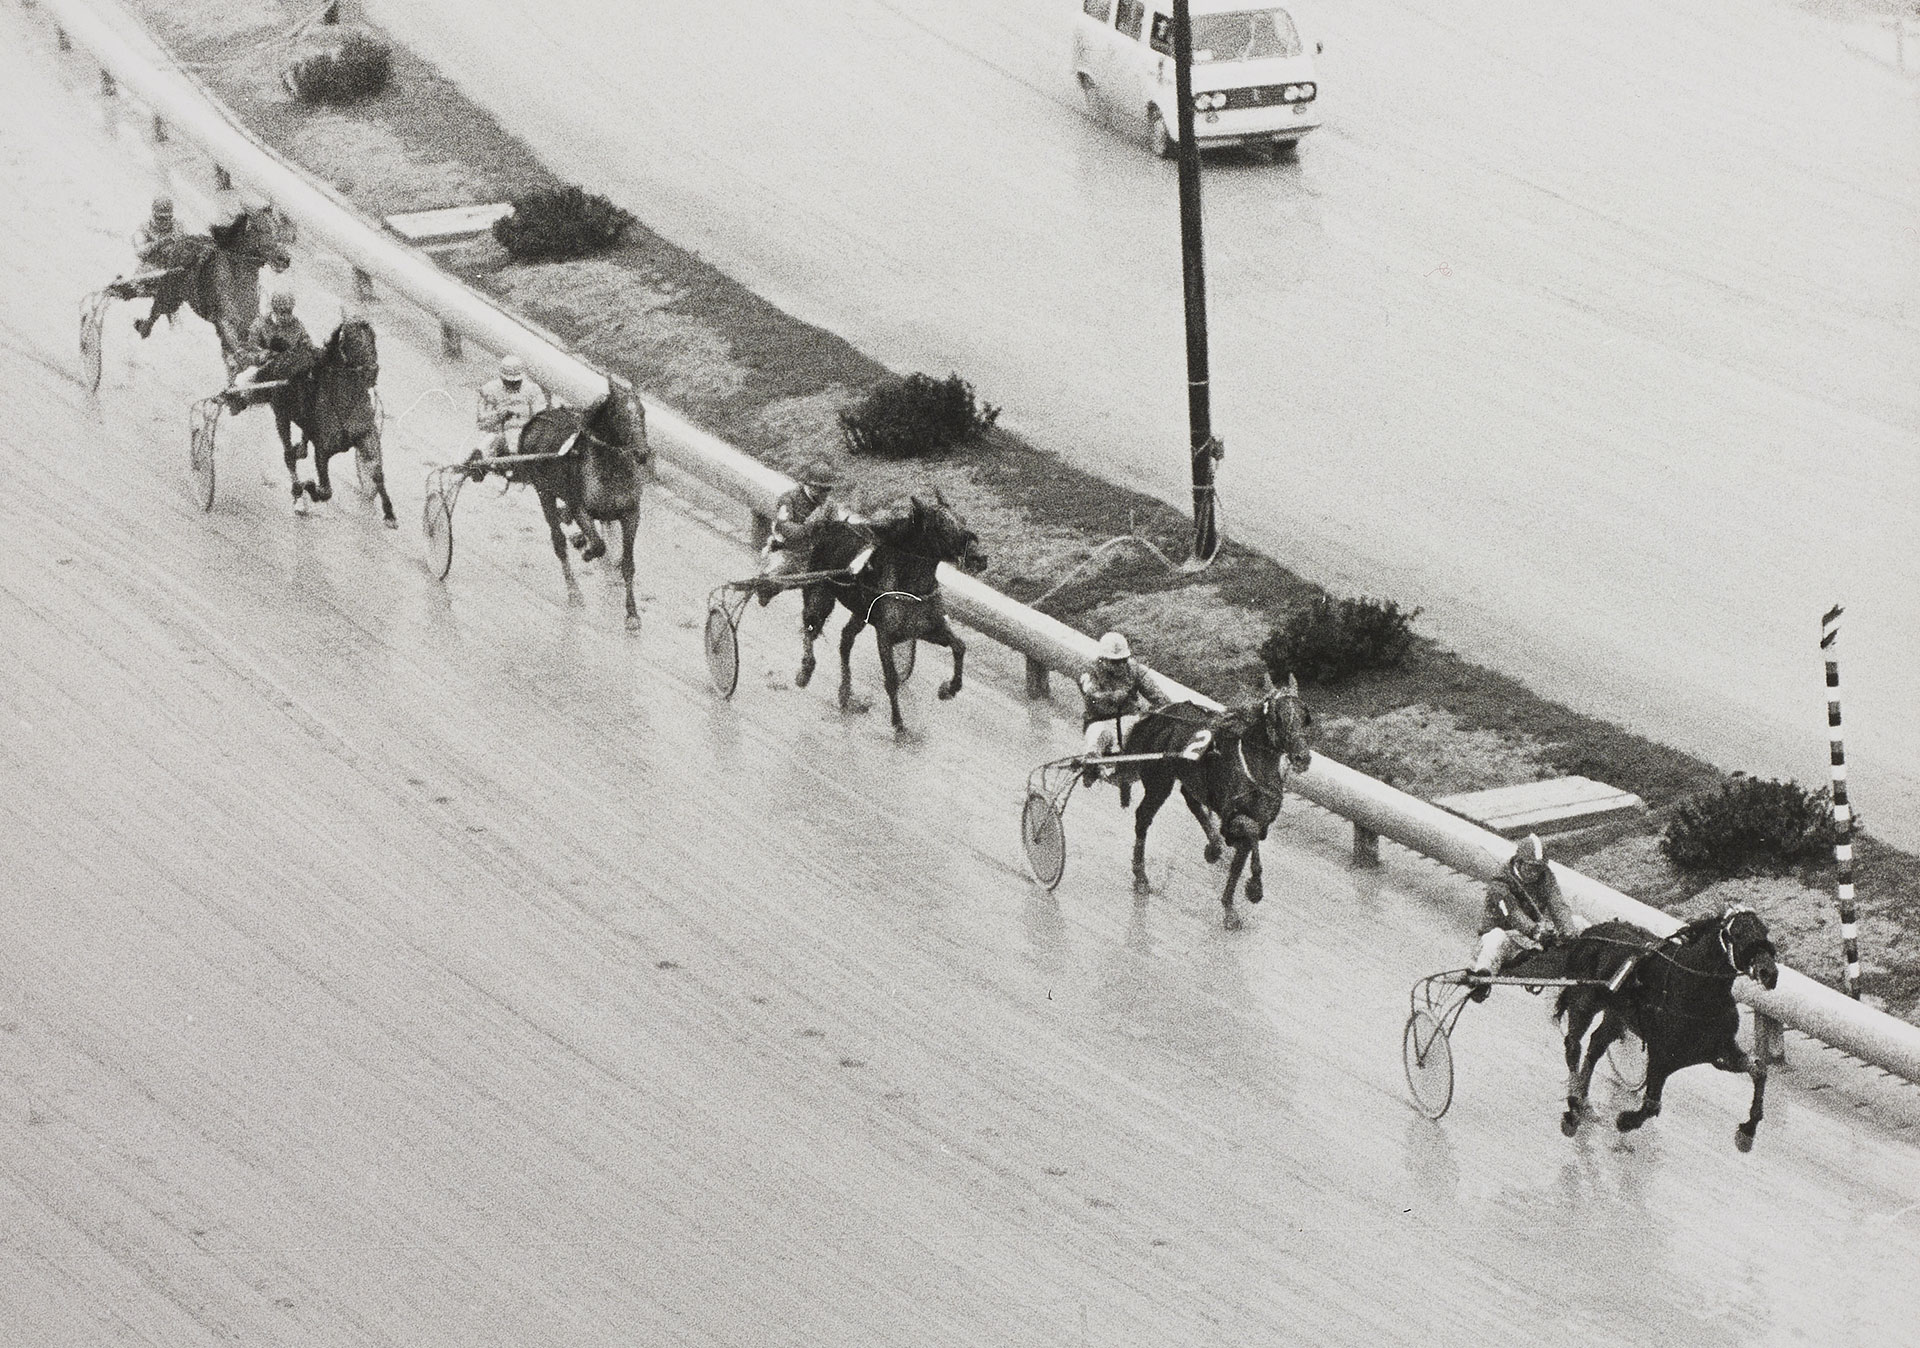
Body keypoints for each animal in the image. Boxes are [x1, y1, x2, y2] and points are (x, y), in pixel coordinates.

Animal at [251, 318, 393, 529]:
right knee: (288, 456)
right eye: (352, 340)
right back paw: (297, 493)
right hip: (281, 415)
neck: (346, 402)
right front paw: (307, 487)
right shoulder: (323, 450)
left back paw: (299, 451)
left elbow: (377, 472)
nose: (372, 371)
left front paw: (390, 515)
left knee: (301, 447)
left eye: (372, 338)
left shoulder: (366, 435)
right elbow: (325, 490)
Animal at [464, 385, 652, 629]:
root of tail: (538, 418)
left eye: (642, 413)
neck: (611, 468)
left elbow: (627, 563)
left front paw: (632, 614)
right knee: (558, 540)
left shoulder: (631, 514)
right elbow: (597, 544)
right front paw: (588, 552)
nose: (642, 453)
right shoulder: (579, 505)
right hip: (544, 491)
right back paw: (574, 590)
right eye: (620, 415)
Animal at [1551, 906, 1774, 1152]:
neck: (1696, 989)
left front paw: (1747, 1131)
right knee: (1573, 1046)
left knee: (1596, 1045)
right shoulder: (1662, 1055)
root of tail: (1591, 931)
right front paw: (1625, 1121)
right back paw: (1573, 1108)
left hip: (1617, 1014)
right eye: (1738, 933)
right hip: (1586, 999)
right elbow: (1652, 1105)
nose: (1769, 973)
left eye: (1765, 932)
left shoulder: (1720, 1051)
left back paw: (1584, 1101)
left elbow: (1759, 1071)